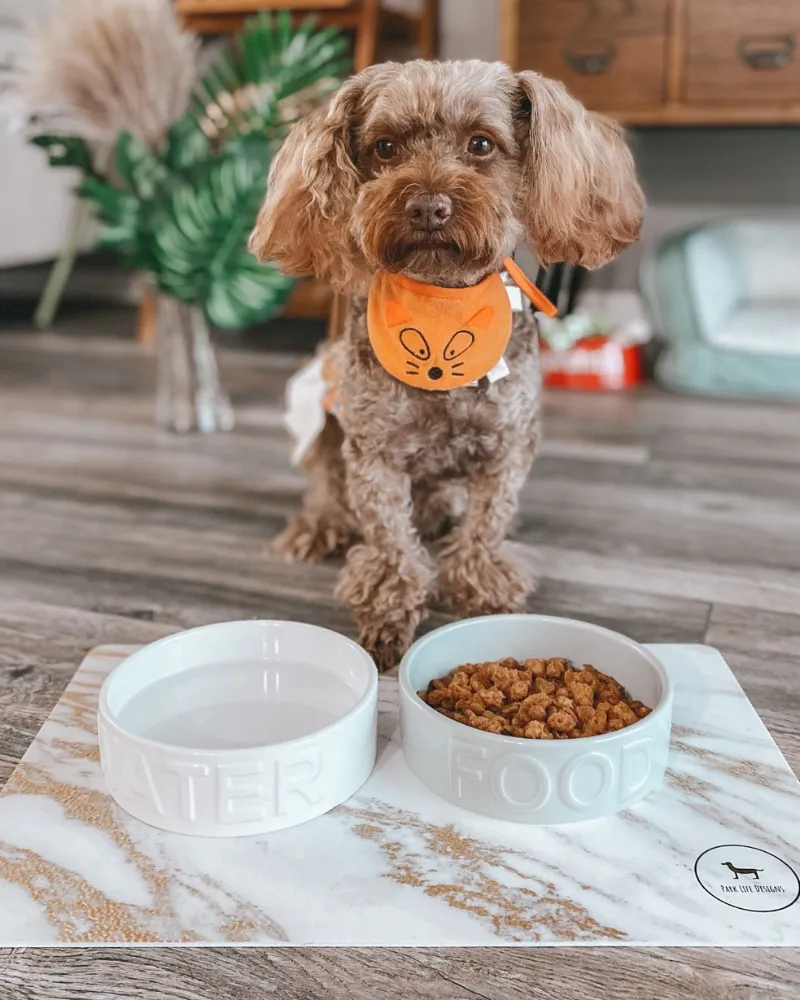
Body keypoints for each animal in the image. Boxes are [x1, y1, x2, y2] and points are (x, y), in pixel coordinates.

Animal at [250, 60, 644, 672]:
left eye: (481, 143)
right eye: (385, 147)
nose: (427, 207)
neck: (440, 304)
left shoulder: (507, 447)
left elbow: (486, 525)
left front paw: (483, 594)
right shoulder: (374, 453)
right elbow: (389, 540)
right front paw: (389, 613)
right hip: (324, 423)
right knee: (324, 488)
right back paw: (318, 528)